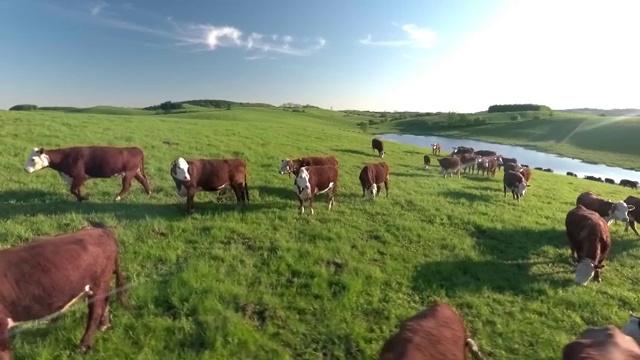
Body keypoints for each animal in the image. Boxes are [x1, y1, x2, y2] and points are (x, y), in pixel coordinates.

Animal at [0, 222, 131, 358]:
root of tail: (99, 230)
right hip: (103, 282)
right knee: (105, 301)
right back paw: (104, 326)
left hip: (98, 282)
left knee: (95, 313)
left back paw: (83, 348)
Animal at [22, 146, 152, 202]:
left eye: (33, 159)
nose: (25, 169)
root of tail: (135, 148)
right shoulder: (75, 178)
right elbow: (77, 189)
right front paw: (81, 198)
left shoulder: (80, 176)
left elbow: (73, 190)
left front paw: (83, 198)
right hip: (136, 171)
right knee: (143, 180)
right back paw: (149, 193)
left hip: (128, 173)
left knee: (127, 186)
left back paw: (117, 197)